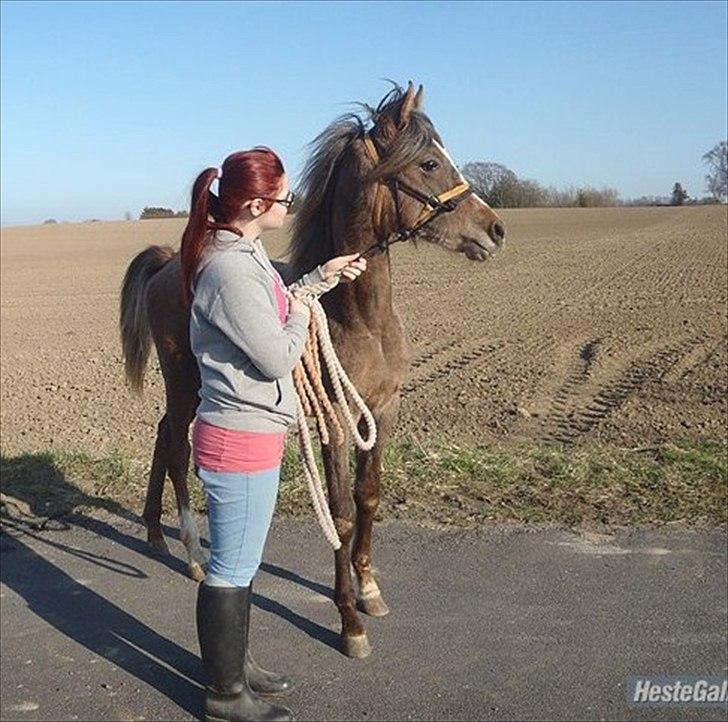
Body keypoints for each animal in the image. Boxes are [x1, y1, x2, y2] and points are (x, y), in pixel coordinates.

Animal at [121, 81, 506, 656]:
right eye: (429, 162)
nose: (495, 229)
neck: (358, 316)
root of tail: (170, 261)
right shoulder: (337, 421)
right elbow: (341, 513)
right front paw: (350, 622)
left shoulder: (382, 411)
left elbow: (369, 499)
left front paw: (369, 589)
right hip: (183, 383)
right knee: (175, 445)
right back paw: (190, 551)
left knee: (162, 434)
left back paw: (152, 532)